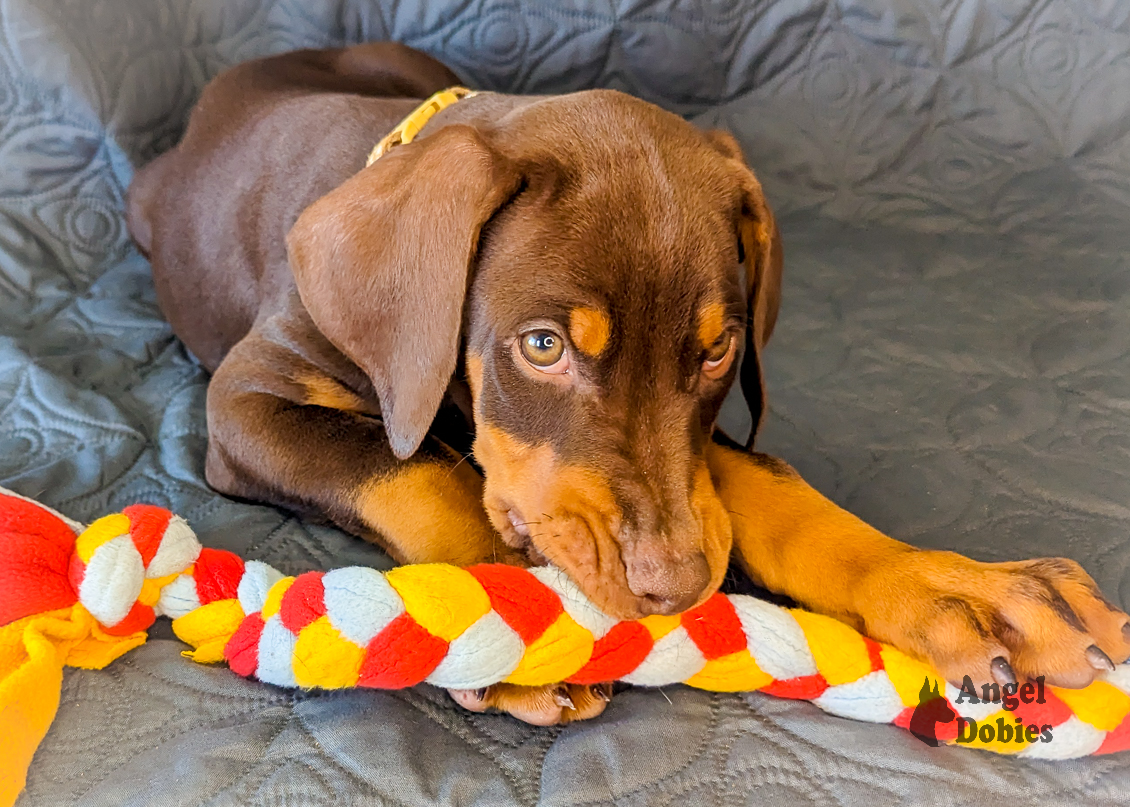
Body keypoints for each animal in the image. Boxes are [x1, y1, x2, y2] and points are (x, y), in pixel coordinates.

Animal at [128, 42, 1130, 723]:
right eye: (541, 347)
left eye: (720, 351)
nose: (677, 585)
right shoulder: (247, 403)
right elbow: (413, 470)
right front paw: (510, 618)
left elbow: (772, 487)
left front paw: (956, 587)